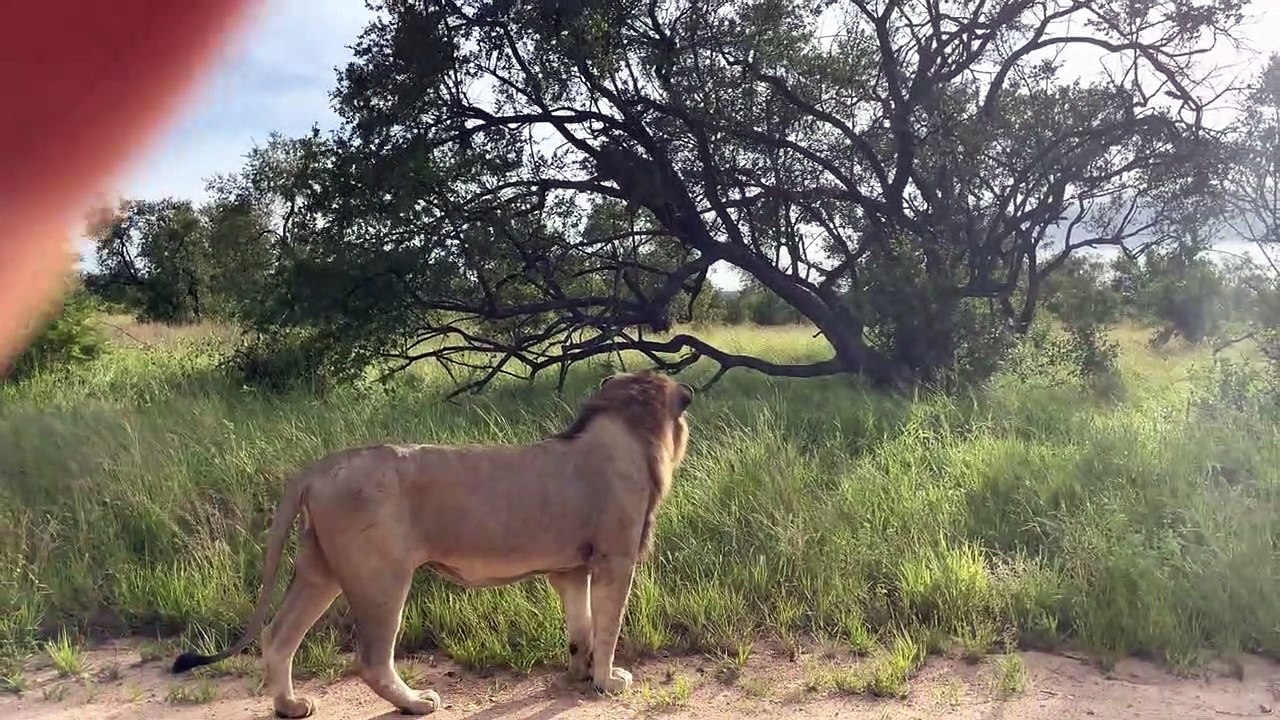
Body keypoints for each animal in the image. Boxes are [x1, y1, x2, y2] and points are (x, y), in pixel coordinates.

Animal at [169, 369, 694, 718]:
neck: (630, 431)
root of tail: (319, 467)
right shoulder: (614, 558)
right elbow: (608, 628)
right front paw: (608, 681)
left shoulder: (571, 569)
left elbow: (580, 629)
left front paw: (582, 675)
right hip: (381, 578)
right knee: (372, 659)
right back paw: (417, 703)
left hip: (321, 571)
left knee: (278, 636)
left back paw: (291, 706)